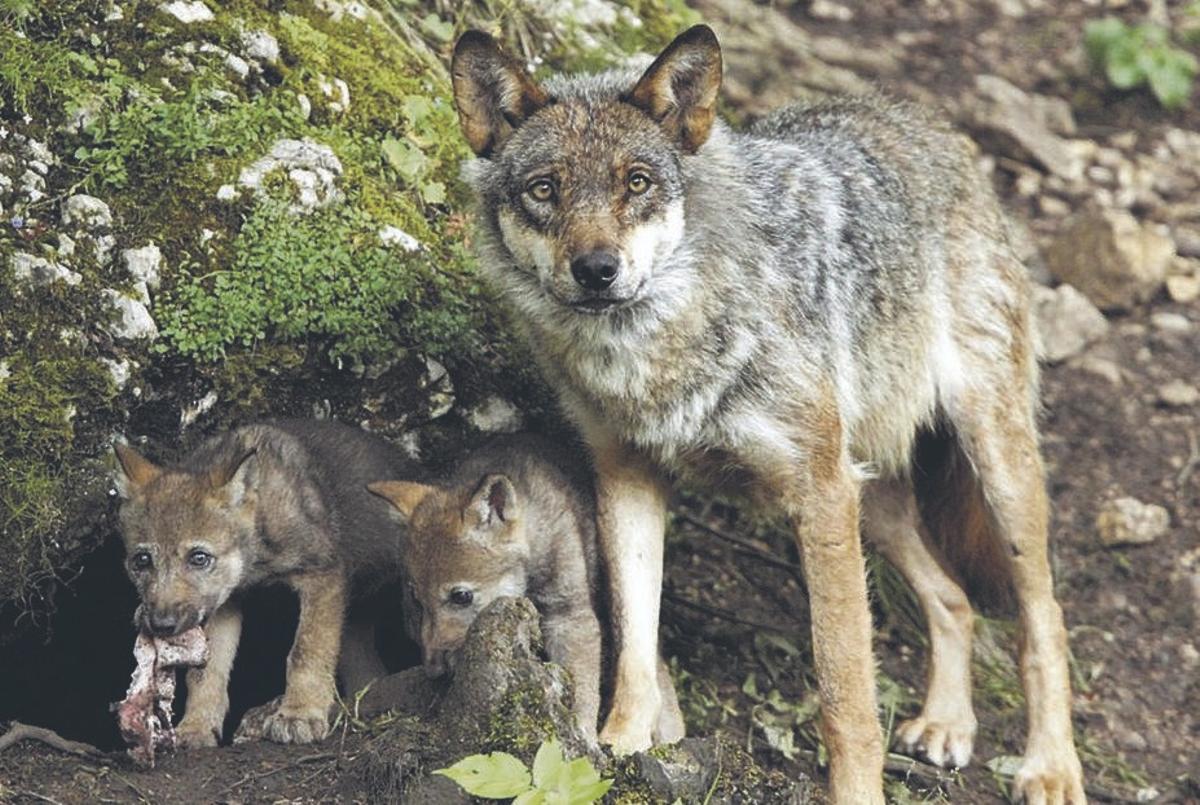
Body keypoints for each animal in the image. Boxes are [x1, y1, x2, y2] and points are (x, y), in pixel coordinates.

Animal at [112, 422, 420, 748]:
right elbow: (206, 673)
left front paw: (300, 714)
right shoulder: (225, 603)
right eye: (142, 561)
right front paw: (196, 726)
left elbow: (305, 651)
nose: (161, 624)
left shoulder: (323, 574)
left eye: (199, 558)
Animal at [451, 25, 1089, 805]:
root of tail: (926, 122)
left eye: (638, 182)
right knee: (953, 597)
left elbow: (845, 694)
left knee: (1044, 616)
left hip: (988, 468)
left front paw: (857, 794)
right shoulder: (628, 476)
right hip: (871, 497)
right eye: (545, 189)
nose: (597, 270)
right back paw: (946, 723)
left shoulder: (819, 494)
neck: (655, 351)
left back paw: (1050, 765)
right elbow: (635, 640)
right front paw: (619, 747)